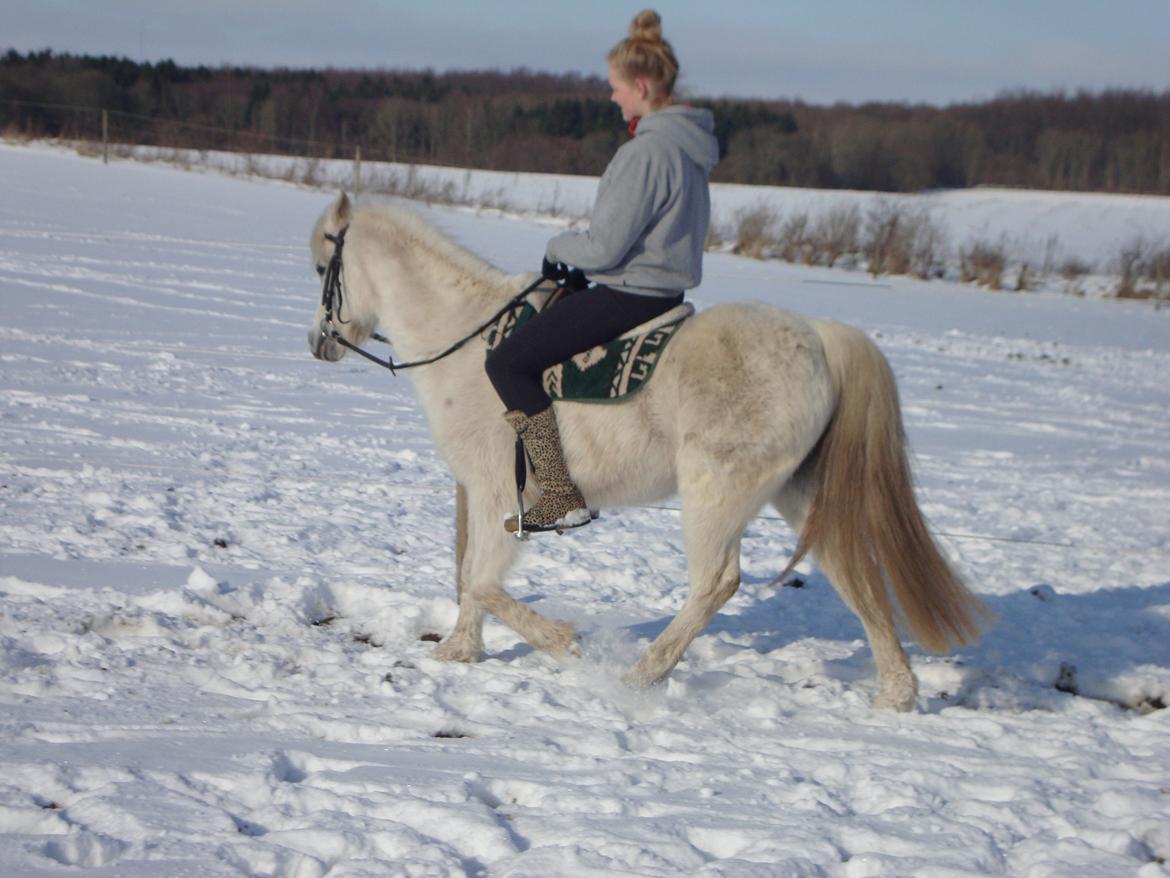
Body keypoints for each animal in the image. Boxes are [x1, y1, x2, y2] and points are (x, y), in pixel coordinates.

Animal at [311, 195, 987, 711]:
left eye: (322, 265)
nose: (319, 345)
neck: (466, 337)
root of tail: (820, 337)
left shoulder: (497, 490)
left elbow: (478, 578)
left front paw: (561, 641)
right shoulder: (478, 493)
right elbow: (467, 575)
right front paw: (460, 650)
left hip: (715, 493)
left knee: (717, 583)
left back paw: (640, 675)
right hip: (799, 496)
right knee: (854, 575)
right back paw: (897, 695)